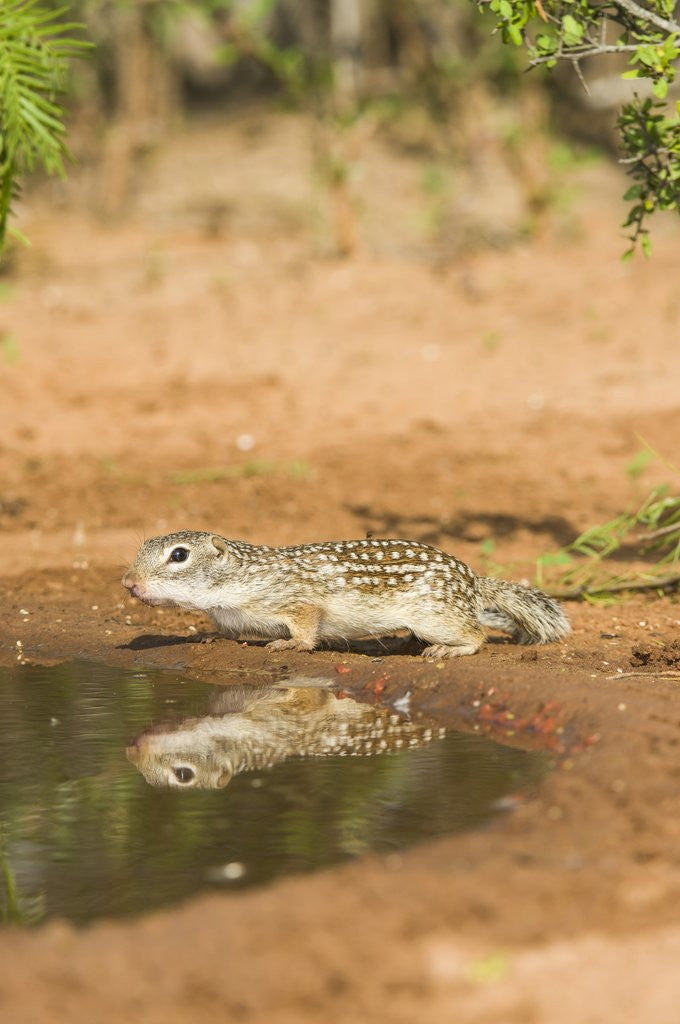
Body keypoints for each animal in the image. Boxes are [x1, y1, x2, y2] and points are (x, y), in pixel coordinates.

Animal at [122, 531, 569, 659]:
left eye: (179, 555)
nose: (128, 583)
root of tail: (474, 580)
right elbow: (226, 631)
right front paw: (206, 635)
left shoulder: (298, 601)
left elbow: (306, 627)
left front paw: (290, 644)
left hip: (437, 616)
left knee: (476, 635)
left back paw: (448, 649)